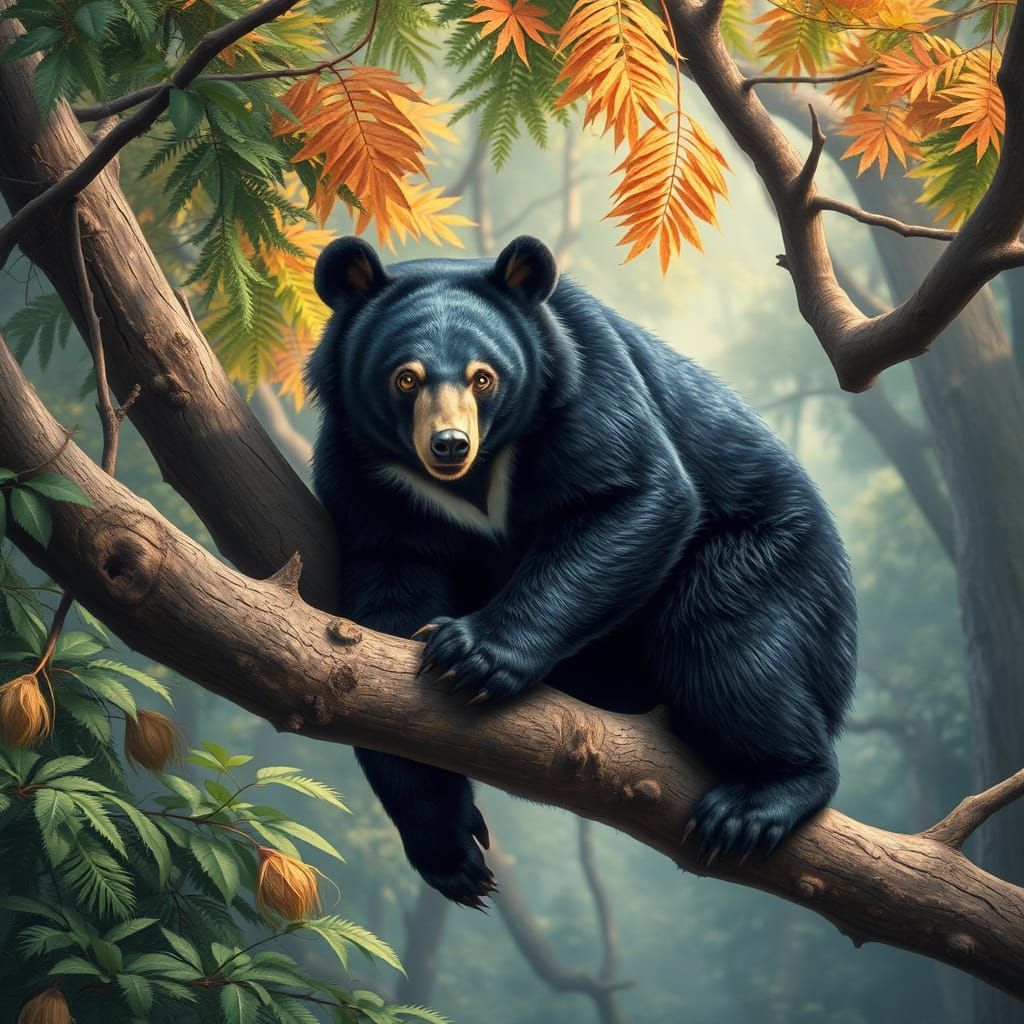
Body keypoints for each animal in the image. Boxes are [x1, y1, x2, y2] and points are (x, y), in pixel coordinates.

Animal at [307, 234, 857, 907]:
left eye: (484, 377)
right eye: (405, 378)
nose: (449, 446)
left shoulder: (587, 381)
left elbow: (634, 494)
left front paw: (471, 655)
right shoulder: (367, 483)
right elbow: (387, 618)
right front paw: (450, 850)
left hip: (770, 560)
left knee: (729, 646)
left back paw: (756, 801)